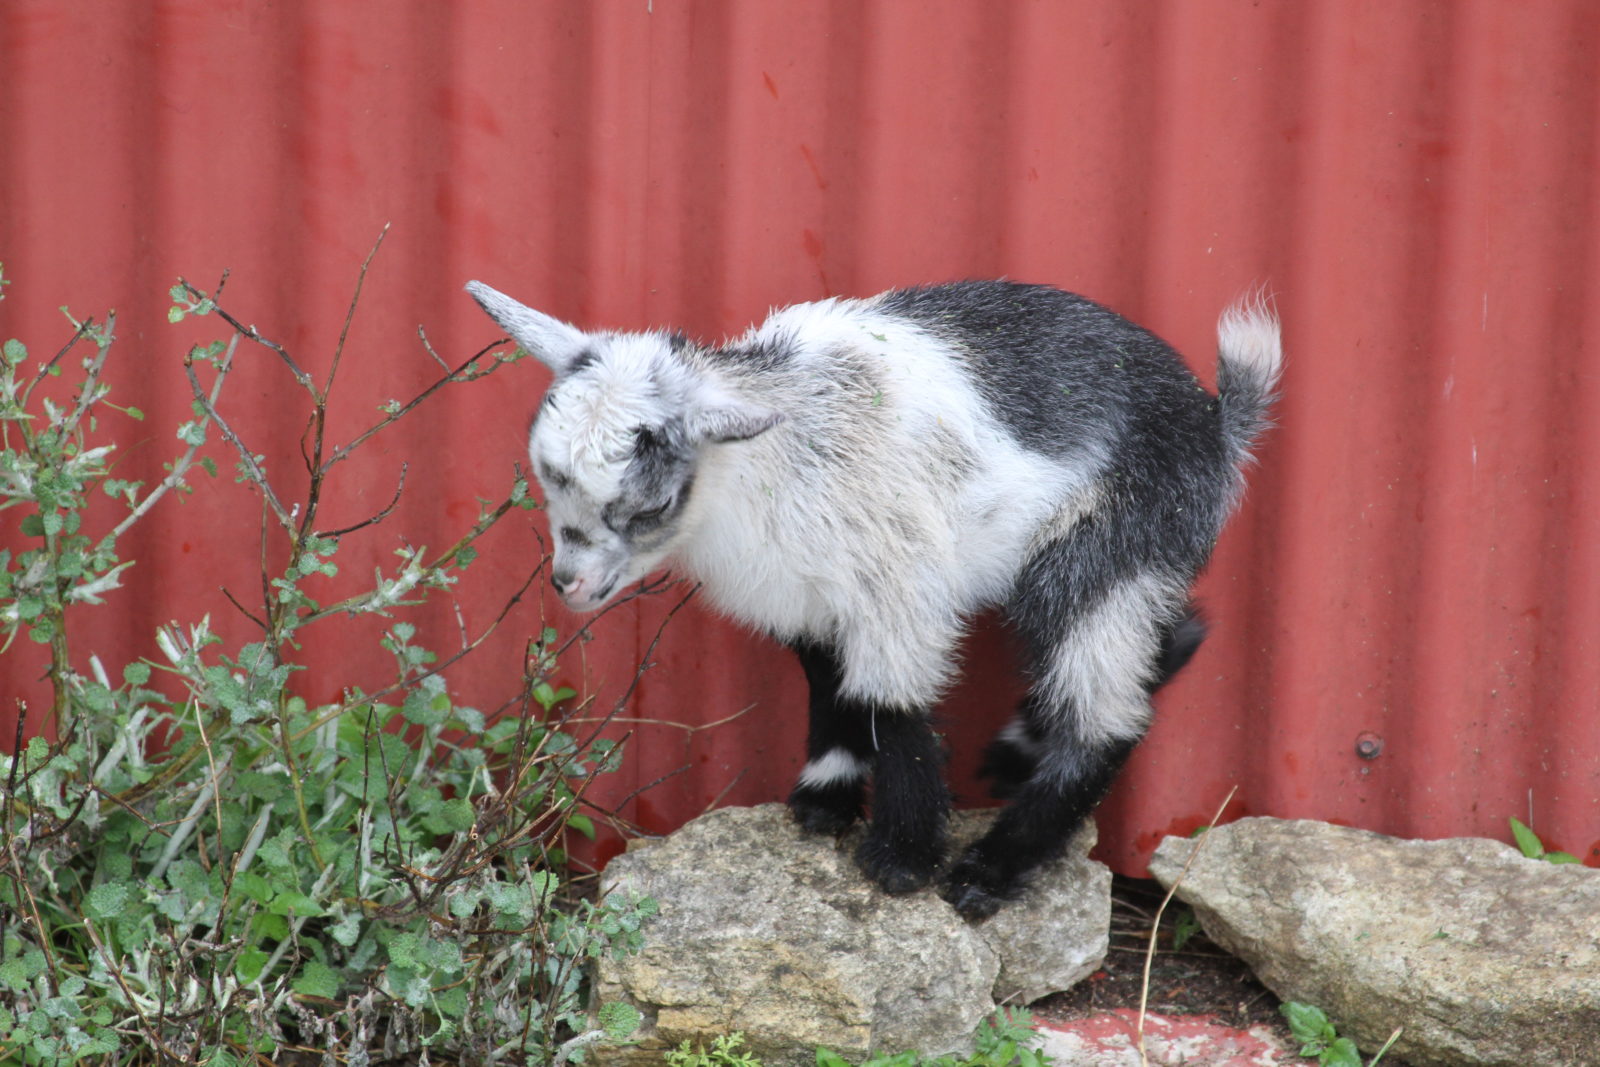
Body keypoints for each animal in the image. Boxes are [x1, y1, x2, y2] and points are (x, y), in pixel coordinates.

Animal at [467, 279, 1280, 921]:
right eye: (546, 478)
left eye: (648, 507)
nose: (569, 585)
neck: (766, 459)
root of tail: (1217, 426)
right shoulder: (812, 590)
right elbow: (830, 681)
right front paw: (824, 798)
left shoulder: (899, 582)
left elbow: (890, 703)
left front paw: (901, 859)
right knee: (1158, 647)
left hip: (1109, 547)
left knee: (1104, 713)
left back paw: (990, 870)